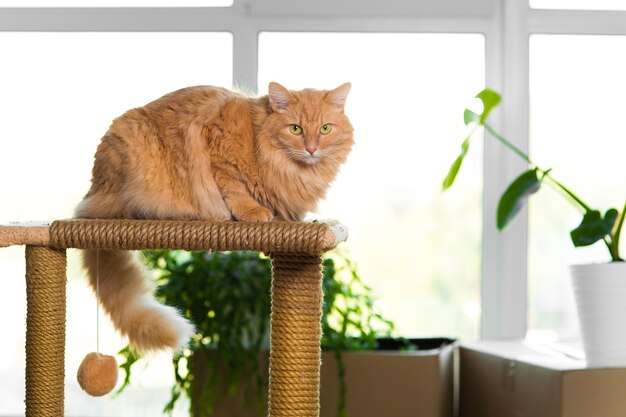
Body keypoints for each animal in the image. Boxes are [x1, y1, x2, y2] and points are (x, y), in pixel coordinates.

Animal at [74, 82, 352, 352]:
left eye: (325, 129)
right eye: (295, 129)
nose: (312, 149)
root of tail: (92, 193)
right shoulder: (218, 146)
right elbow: (235, 188)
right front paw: (253, 213)